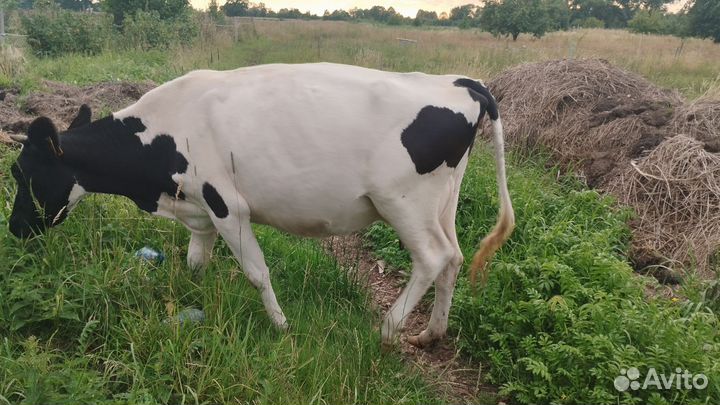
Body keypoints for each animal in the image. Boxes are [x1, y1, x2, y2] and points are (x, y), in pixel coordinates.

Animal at [7, 63, 514, 348]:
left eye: (19, 173)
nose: (14, 230)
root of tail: (462, 83)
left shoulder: (227, 205)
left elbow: (256, 272)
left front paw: (282, 326)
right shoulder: (199, 211)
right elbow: (195, 262)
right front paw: (193, 301)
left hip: (403, 201)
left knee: (432, 257)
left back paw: (387, 332)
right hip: (442, 201)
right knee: (455, 256)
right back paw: (432, 334)